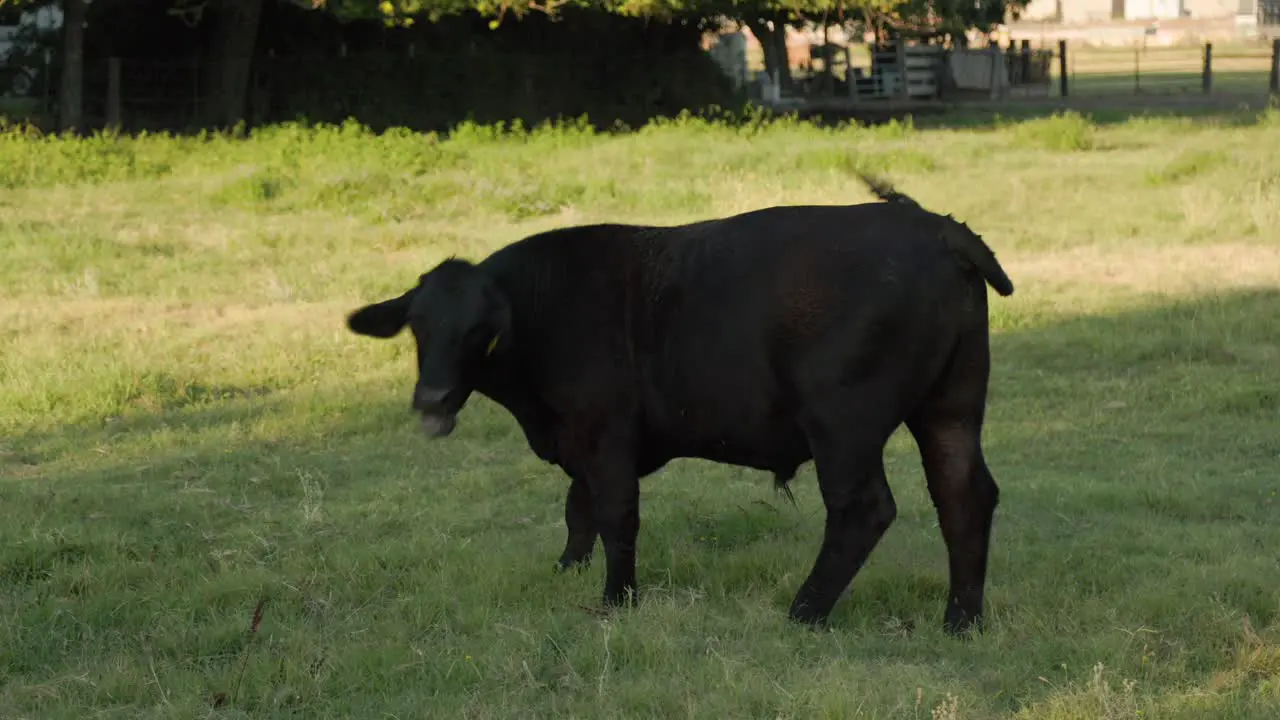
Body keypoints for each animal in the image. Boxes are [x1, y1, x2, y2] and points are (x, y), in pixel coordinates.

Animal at [345, 175, 1013, 632]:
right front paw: (565, 572)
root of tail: (934, 225)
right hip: (950, 407)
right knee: (964, 495)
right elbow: (578, 510)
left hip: (842, 423)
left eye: (480, 333)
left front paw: (616, 599)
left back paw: (804, 611)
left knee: (864, 509)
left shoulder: (606, 433)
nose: (431, 397)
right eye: (418, 328)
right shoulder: (581, 441)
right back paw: (961, 620)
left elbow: (615, 515)